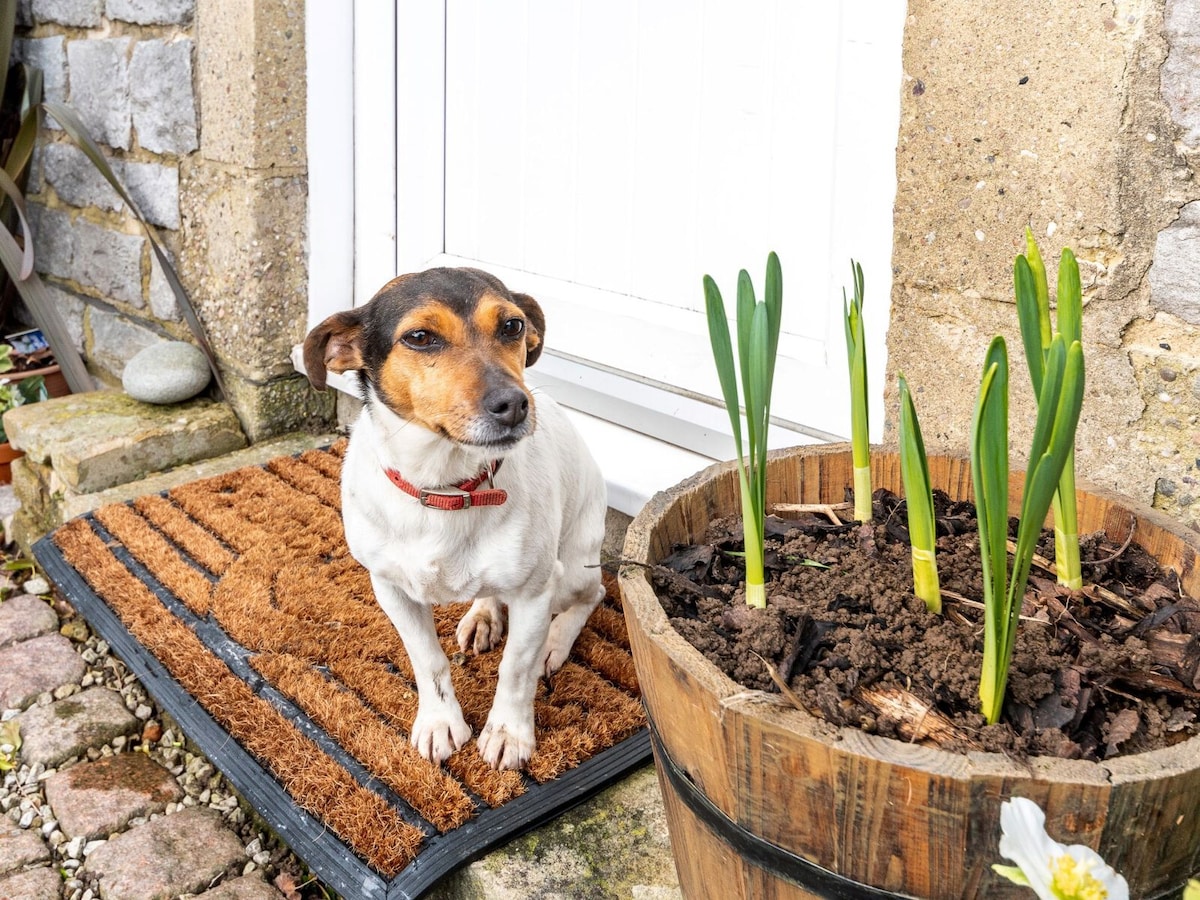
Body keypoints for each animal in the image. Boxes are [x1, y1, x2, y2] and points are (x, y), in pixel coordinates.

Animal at [304, 264, 609, 772]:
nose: (515, 404)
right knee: (492, 594)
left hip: (569, 571)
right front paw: (440, 722)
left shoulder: (534, 594)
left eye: (513, 326)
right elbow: (428, 660)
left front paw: (508, 733)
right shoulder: (390, 589)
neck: (444, 488)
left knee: (593, 595)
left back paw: (554, 642)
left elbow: (516, 668)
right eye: (420, 337)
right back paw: (483, 616)